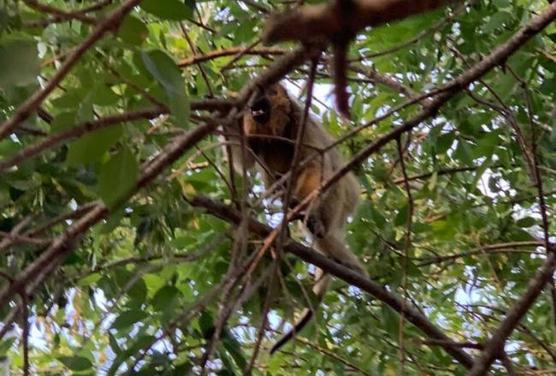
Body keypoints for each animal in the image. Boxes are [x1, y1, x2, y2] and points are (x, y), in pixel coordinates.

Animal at [226, 83, 364, 356]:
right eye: (254, 97)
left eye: (268, 93)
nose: (255, 102)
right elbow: (244, 162)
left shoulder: (302, 123)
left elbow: (317, 165)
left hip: (348, 195)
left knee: (331, 181)